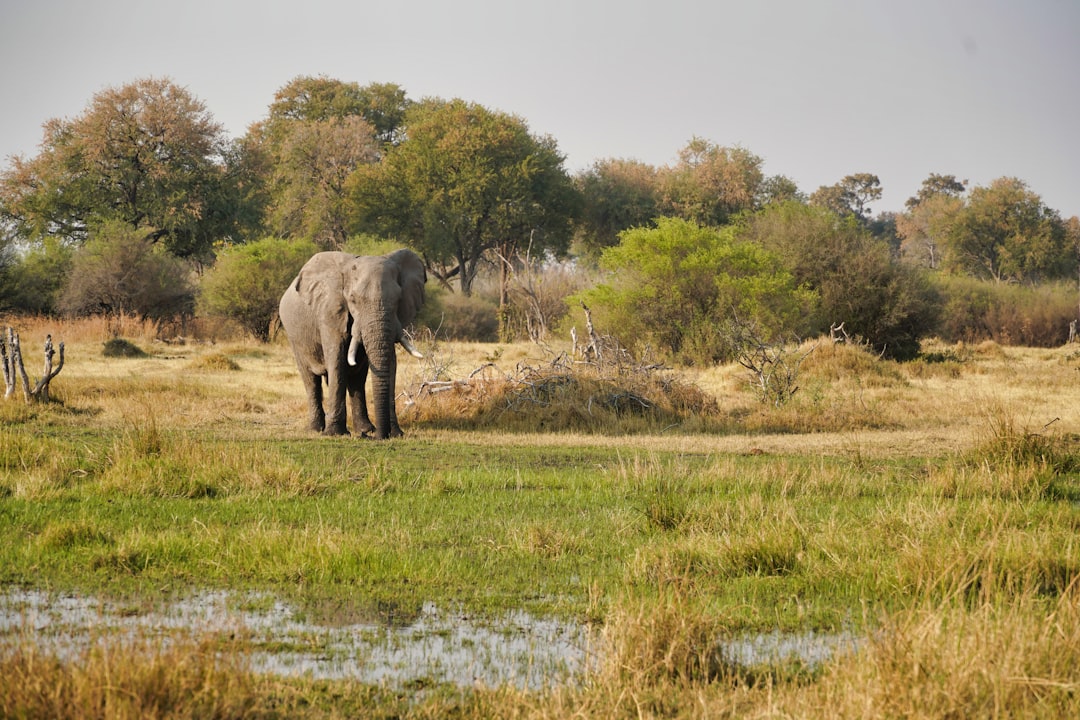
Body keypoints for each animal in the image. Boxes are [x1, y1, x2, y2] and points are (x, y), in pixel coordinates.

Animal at [278, 248, 425, 440]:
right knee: (310, 379)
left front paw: (395, 433)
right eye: (353, 299)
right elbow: (337, 361)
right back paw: (316, 429)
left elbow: (391, 363)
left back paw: (365, 428)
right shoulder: (330, 311)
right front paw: (334, 433)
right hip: (294, 336)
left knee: (357, 379)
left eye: (398, 299)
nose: (379, 436)